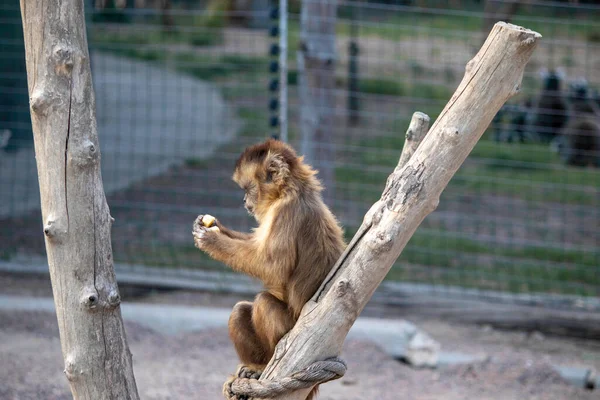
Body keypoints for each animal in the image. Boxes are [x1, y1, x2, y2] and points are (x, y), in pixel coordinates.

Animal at [190, 139, 344, 398]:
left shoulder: (286, 212)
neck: (293, 191)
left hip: (291, 330)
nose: (244, 201)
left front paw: (212, 240)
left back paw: (263, 367)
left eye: (247, 188)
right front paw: (213, 226)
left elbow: (271, 267)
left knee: (263, 302)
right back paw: (254, 367)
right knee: (240, 310)